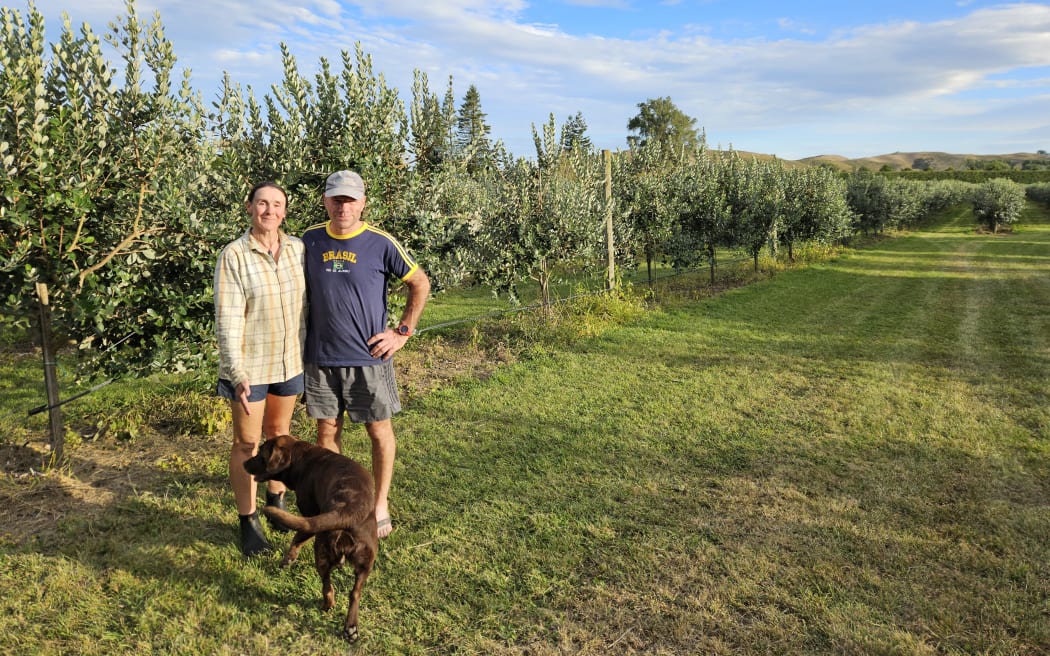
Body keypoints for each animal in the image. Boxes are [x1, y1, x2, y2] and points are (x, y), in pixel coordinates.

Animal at [243, 432, 380, 642]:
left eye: (261, 455)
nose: (244, 463)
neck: (302, 457)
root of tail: (347, 510)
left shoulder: (309, 515)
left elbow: (297, 539)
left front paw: (288, 560)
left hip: (321, 550)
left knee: (327, 587)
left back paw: (327, 606)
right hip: (366, 561)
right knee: (354, 593)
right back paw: (351, 628)